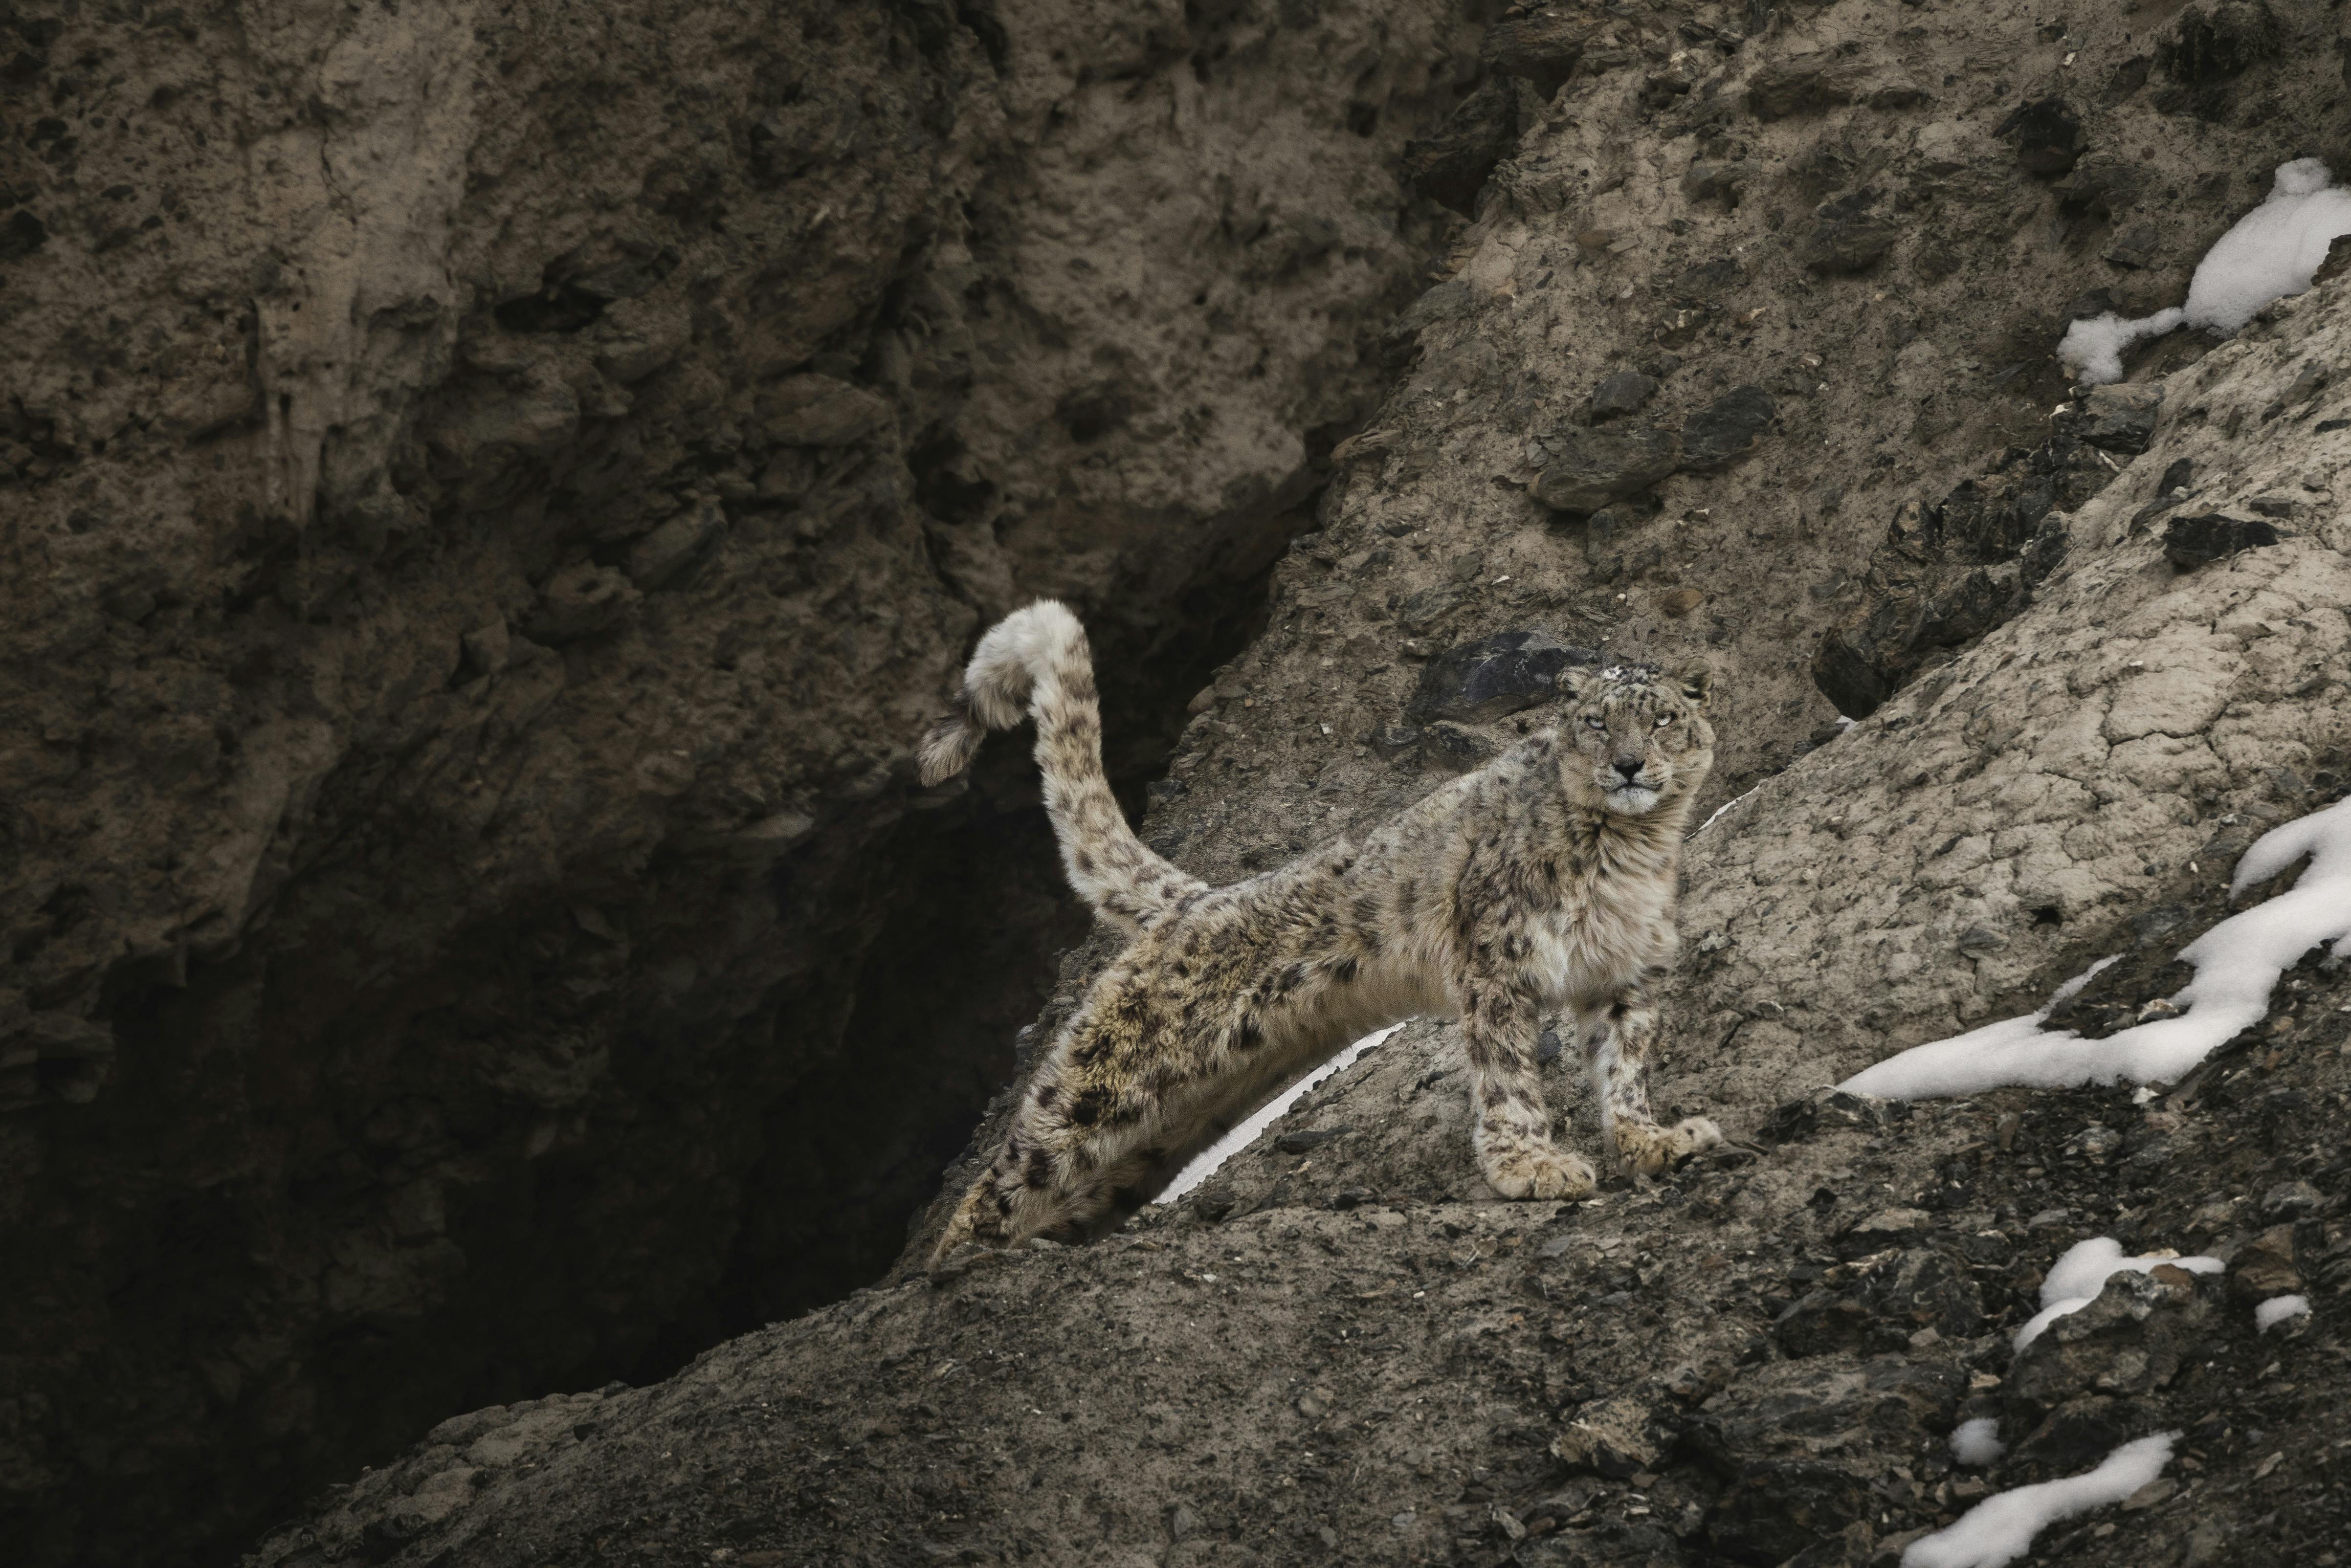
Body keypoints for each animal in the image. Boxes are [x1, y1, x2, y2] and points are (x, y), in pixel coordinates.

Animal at [917, 600, 1726, 1264]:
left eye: (1661, 718)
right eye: (1598, 720)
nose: (1629, 763)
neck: (1632, 852)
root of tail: (1197, 899)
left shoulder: (1625, 976)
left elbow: (1625, 1068)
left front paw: (1653, 1140)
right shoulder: (1497, 963)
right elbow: (1507, 1075)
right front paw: (1532, 1166)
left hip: (1180, 1117)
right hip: (1110, 1078)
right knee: (1019, 1162)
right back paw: (955, 1266)